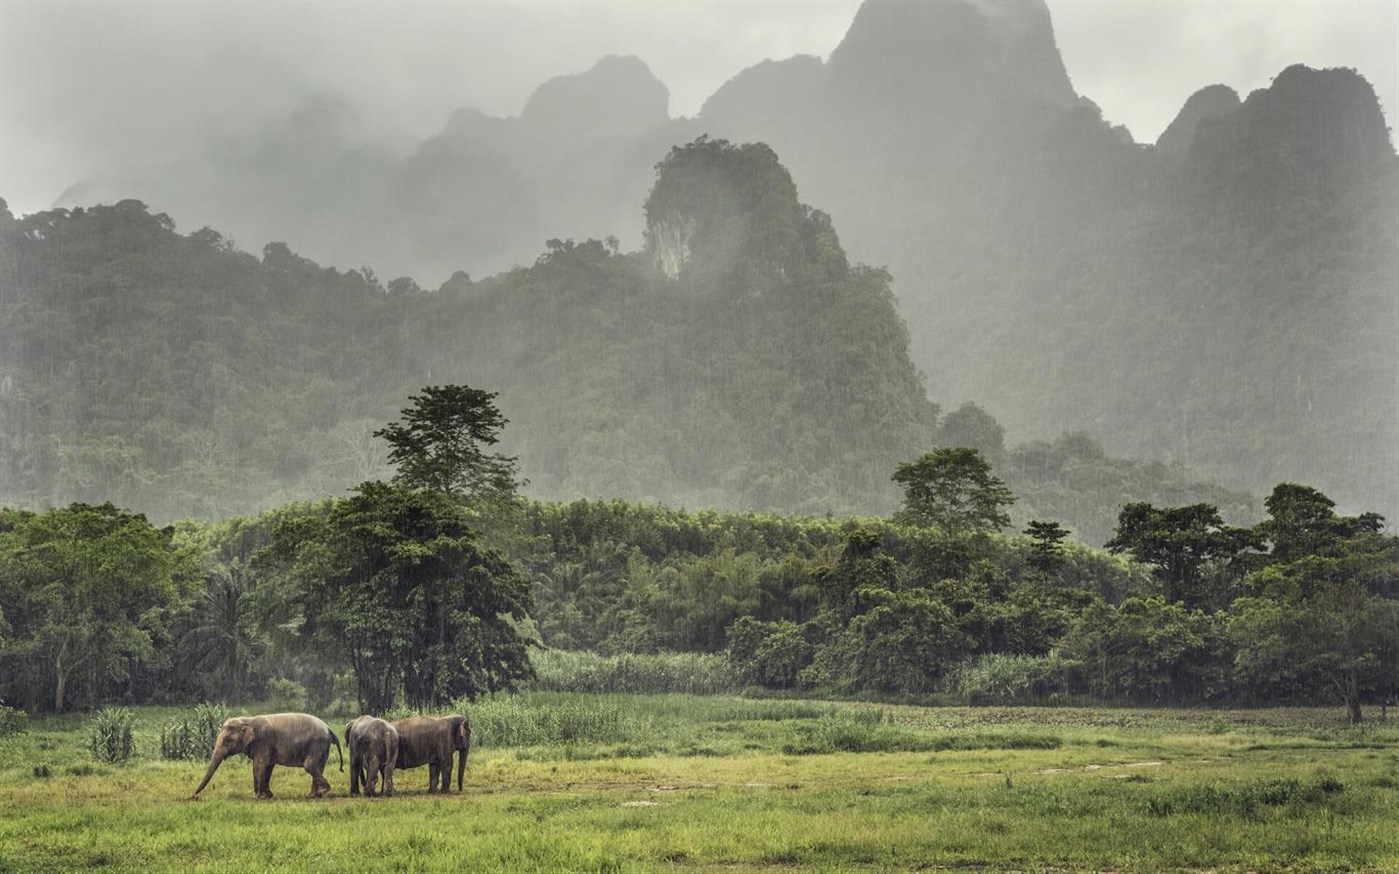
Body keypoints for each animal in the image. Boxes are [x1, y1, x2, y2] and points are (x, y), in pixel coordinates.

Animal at [190, 710, 342, 799]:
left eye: (227, 740)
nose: (193, 796)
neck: (248, 719)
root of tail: (329, 728)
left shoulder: (263, 741)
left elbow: (259, 765)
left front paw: (257, 797)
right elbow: (268, 766)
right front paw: (268, 795)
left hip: (317, 743)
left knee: (309, 766)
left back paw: (323, 792)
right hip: (322, 746)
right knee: (319, 766)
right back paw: (312, 795)